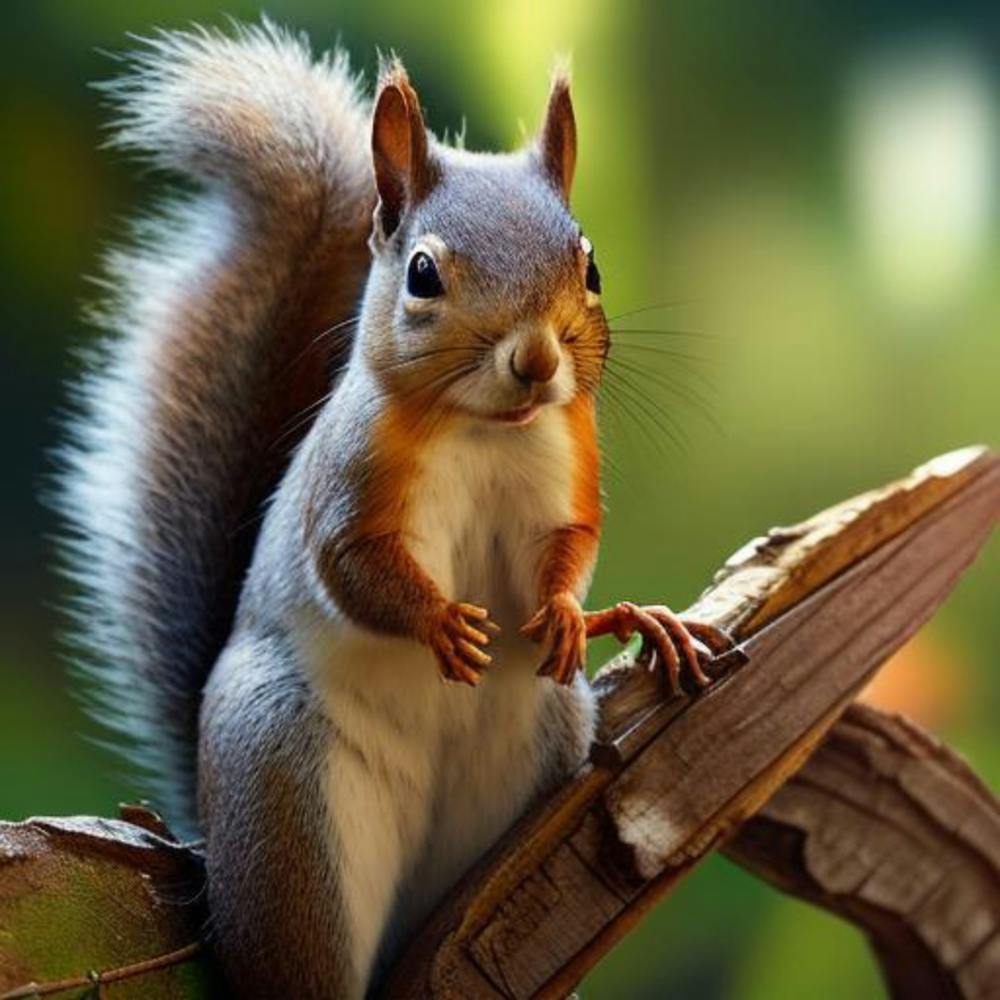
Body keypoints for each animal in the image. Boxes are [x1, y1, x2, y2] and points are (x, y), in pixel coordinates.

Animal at [58, 18, 728, 999]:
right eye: (421, 274)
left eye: (592, 266)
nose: (537, 360)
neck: (488, 433)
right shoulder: (349, 487)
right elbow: (354, 568)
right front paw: (442, 621)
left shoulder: (567, 472)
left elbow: (571, 547)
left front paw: (591, 615)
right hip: (293, 811)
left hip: (530, 765)